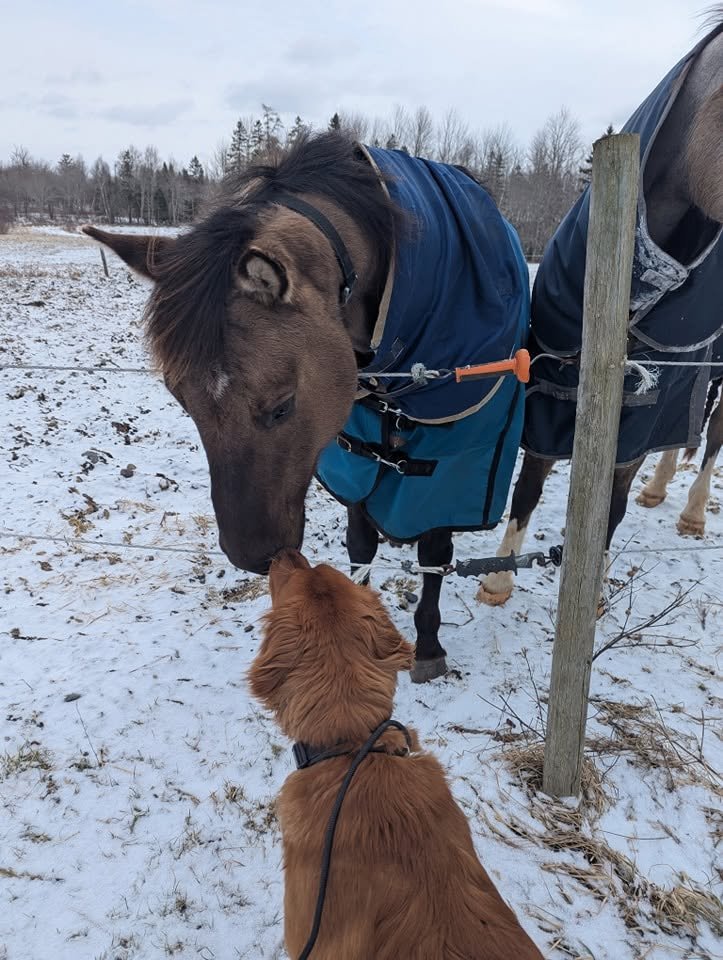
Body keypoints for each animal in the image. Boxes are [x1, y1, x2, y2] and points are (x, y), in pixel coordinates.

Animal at [83, 137, 529, 683]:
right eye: (180, 399)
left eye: (282, 405)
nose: (251, 554)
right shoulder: (355, 449)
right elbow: (360, 541)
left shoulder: (457, 454)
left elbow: (434, 552)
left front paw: (427, 647)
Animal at [480, 18, 723, 605]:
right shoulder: (550, 389)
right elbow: (530, 485)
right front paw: (498, 580)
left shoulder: (642, 412)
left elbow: (611, 504)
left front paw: (590, 591)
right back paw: (660, 489)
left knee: (712, 439)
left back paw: (692, 514)